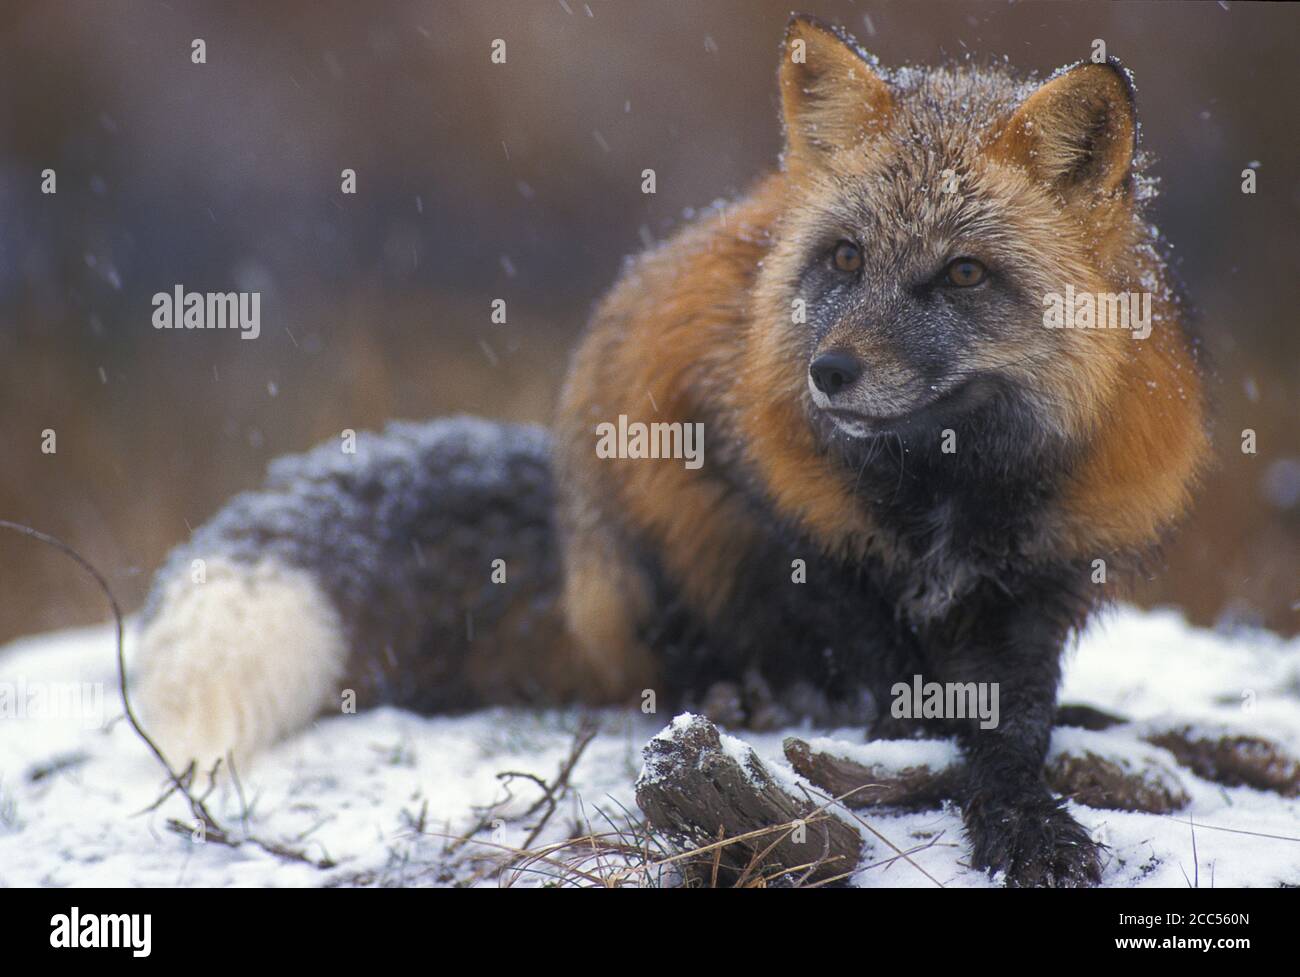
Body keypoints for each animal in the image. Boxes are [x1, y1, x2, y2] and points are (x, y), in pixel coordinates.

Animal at [131, 15, 1206, 883]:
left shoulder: (1047, 575)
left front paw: (1025, 817)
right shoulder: (784, 516)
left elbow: (1011, 729)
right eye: (847, 258)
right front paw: (908, 746)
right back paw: (751, 696)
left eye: (965, 273)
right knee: (676, 667)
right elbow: (895, 681)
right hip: (651, 531)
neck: (943, 488)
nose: (828, 374)